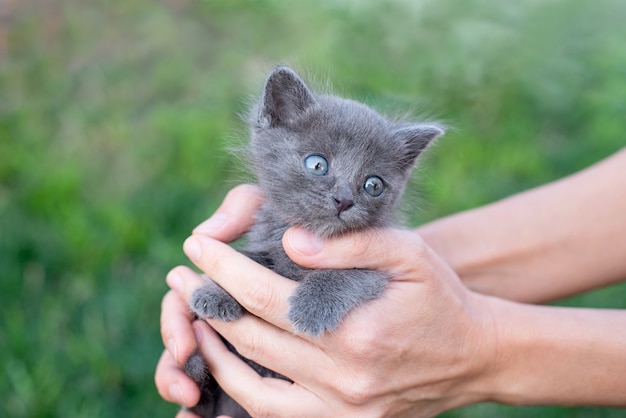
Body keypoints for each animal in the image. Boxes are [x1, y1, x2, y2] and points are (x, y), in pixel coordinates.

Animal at [183, 66, 442, 418]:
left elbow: (350, 275)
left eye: (373, 185)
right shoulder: (265, 239)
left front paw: (313, 306)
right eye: (317, 165)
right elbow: (251, 258)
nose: (344, 200)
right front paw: (216, 292)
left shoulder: (381, 269)